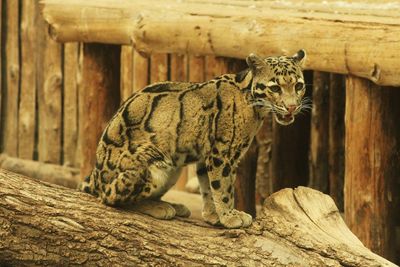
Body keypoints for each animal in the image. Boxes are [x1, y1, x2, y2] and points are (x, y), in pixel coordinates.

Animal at [79, 49, 310, 228]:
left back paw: (172, 205)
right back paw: (159, 207)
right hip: (151, 162)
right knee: (111, 197)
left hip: (173, 169)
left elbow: (207, 187)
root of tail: (96, 175)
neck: (255, 105)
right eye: (275, 88)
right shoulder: (222, 154)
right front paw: (230, 216)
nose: (292, 107)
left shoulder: (206, 155)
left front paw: (213, 215)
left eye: (298, 86)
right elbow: (223, 187)